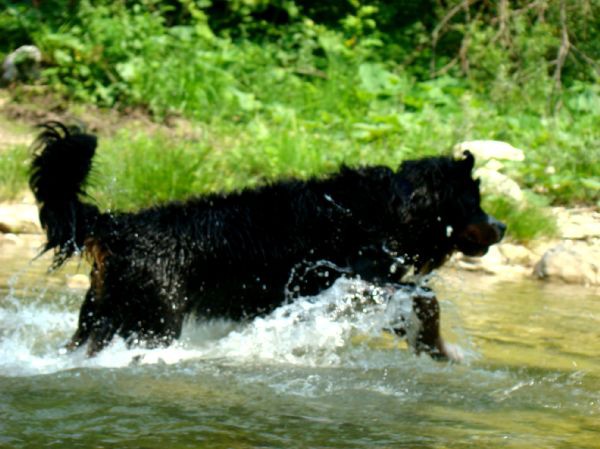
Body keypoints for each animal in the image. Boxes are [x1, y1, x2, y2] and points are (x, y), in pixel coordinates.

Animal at [29, 121, 506, 356]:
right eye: (474, 201)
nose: (501, 226)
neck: (382, 211)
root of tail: (120, 226)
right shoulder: (358, 277)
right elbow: (424, 297)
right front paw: (439, 347)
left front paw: (429, 345)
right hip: (154, 316)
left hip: (102, 313)